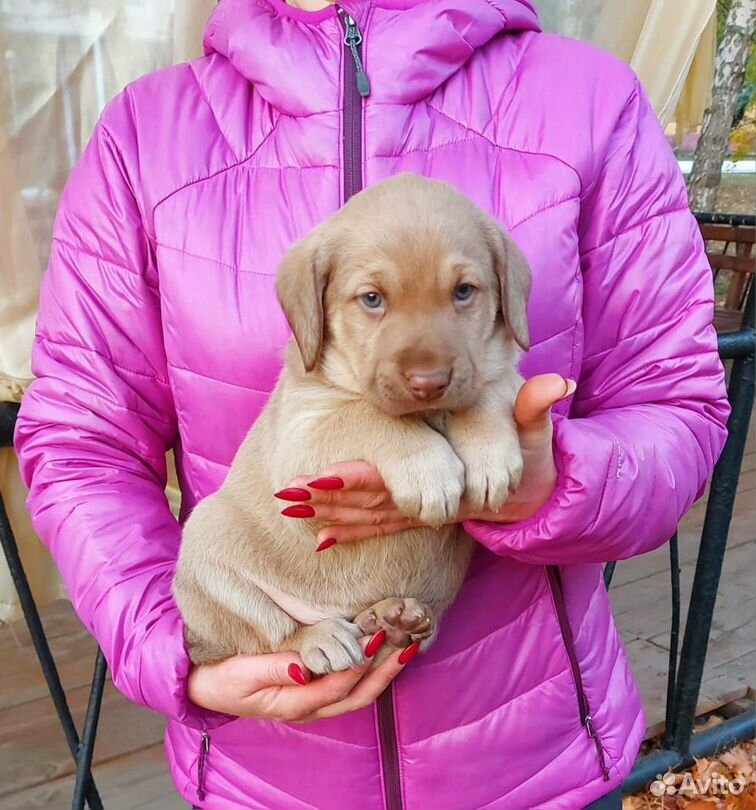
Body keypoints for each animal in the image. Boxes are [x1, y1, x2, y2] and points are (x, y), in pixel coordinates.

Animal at [172, 174, 528, 672]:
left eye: (463, 291)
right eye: (372, 299)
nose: (429, 381)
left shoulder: (496, 372)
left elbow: (490, 387)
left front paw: (489, 457)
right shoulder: (302, 432)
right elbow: (365, 414)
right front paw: (428, 468)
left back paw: (392, 620)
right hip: (207, 539)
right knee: (269, 632)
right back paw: (319, 637)